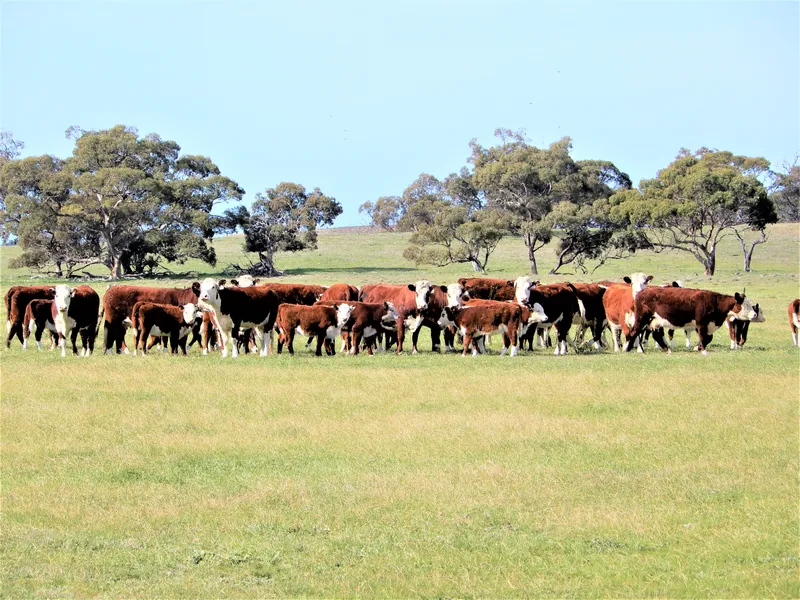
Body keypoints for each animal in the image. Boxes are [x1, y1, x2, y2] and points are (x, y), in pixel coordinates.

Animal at [625, 287, 759, 354]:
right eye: (745, 305)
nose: (754, 314)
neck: (714, 302)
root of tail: (640, 293)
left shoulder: (705, 326)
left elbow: (708, 338)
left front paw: (697, 348)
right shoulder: (701, 324)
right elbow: (704, 338)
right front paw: (704, 351)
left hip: (655, 321)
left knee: (656, 336)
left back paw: (667, 350)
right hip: (642, 318)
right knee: (634, 332)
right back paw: (629, 349)